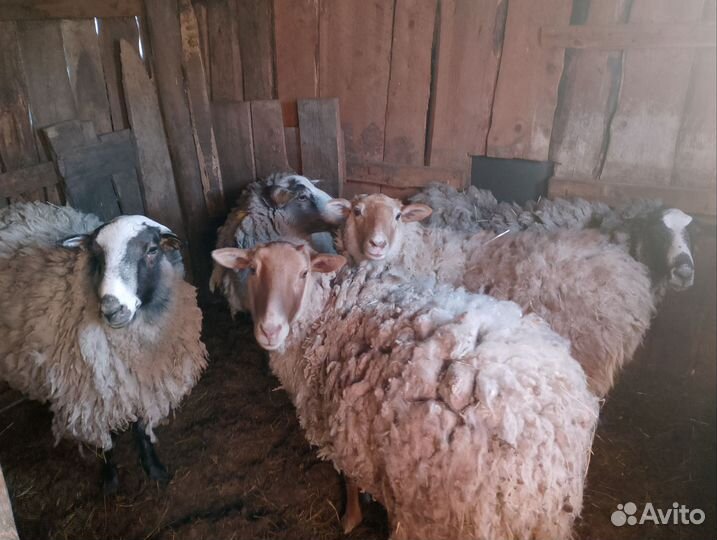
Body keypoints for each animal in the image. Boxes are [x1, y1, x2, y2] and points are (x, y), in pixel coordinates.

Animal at [0, 202, 207, 493]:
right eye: (96, 256)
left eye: (152, 250)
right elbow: (105, 440)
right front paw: (110, 479)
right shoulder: (92, 392)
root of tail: (12, 209)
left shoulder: (140, 384)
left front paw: (153, 468)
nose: (112, 309)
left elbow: (141, 429)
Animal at [212, 241, 599, 540]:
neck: (321, 315)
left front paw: (350, 518)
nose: (270, 330)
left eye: (304, 273)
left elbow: (348, 478)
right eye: (253, 269)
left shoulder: (339, 423)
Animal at [330, 194, 655, 398]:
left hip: (592, 352)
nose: (377, 244)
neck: (421, 252)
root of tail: (633, 272)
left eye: (398, 216)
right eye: (357, 212)